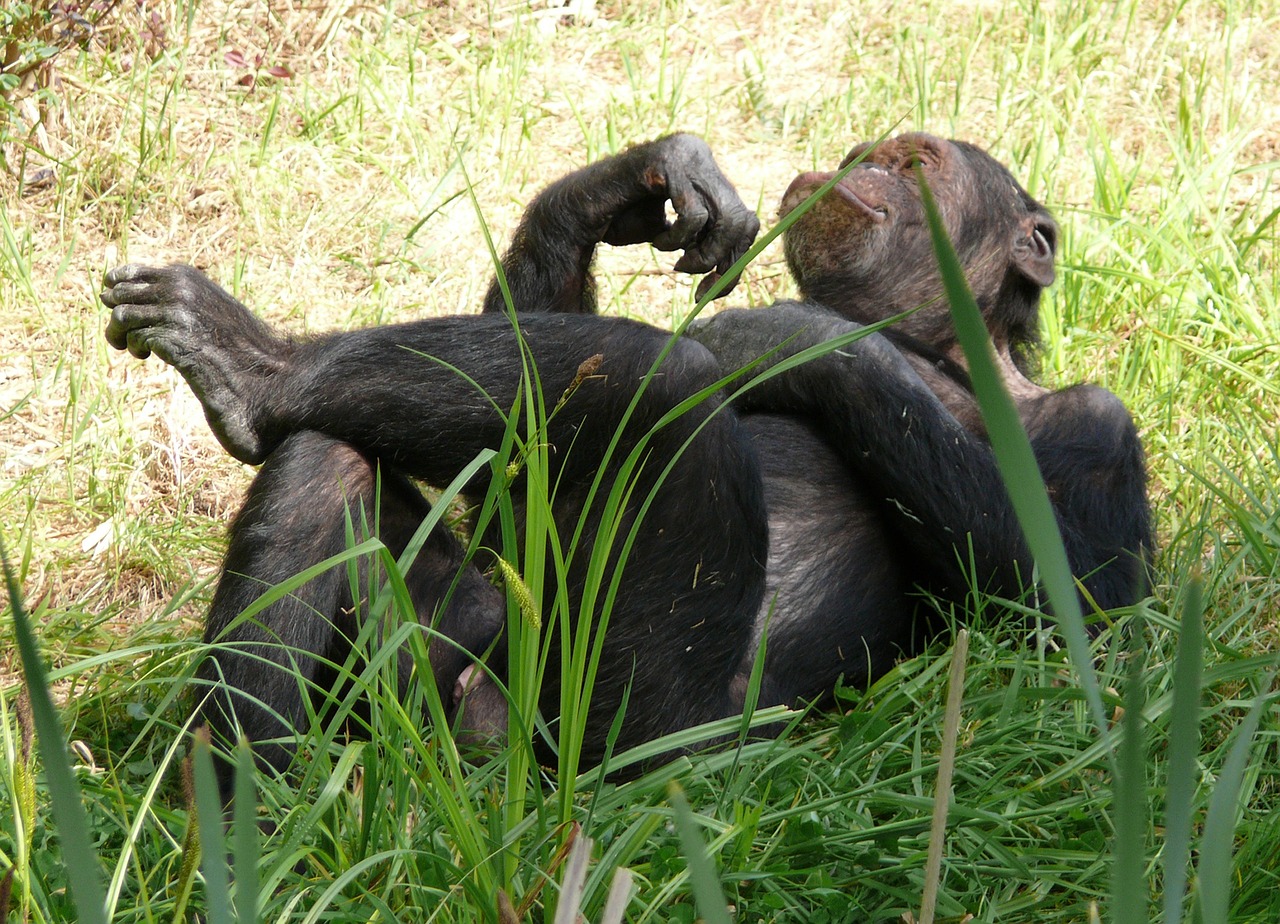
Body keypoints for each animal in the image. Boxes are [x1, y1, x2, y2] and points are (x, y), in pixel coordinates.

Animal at [102, 129, 1152, 778]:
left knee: (664, 380)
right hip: (430, 679)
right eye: (868, 156)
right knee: (330, 457)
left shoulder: (1101, 428)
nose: (862, 170)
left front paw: (795, 335)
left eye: (916, 160)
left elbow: (1081, 611)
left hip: (631, 734)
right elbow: (513, 491)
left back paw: (257, 370)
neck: (942, 353)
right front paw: (634, 184)